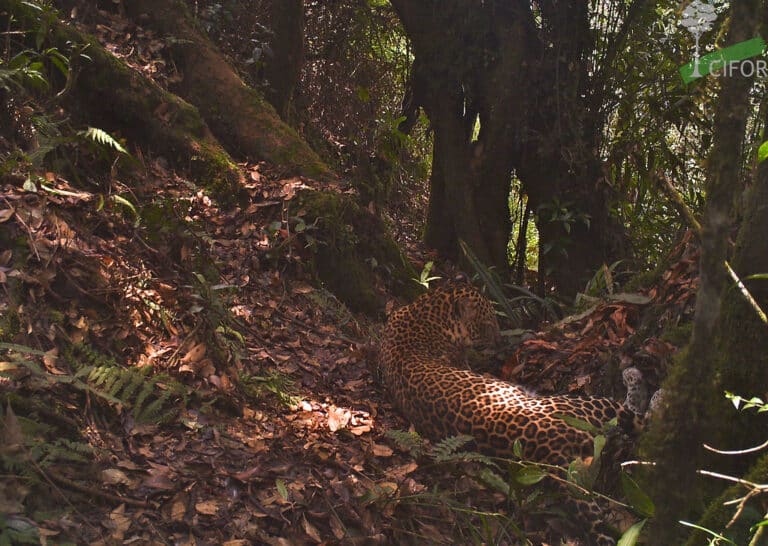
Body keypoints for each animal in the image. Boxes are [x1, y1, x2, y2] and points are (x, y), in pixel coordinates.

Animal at [379, 282, 644, 545]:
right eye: (486, 325)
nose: (500, 343)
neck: (426, 311)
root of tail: (551, 454)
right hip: (591, 404)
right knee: (637, 415)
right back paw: (634, 377)